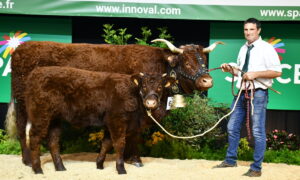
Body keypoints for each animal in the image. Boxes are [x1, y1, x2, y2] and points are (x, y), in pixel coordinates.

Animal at [25, 66, 176, 174]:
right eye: (143, 86)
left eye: (160, 87)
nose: (150, 102)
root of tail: (36, 72)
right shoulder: (117, 121)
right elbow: (119, 144)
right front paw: (121, 169)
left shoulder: (110, 123)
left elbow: (106, 144)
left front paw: (99, 165)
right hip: (41, 115)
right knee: (34, 137)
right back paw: (37, 169)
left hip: (55, 119)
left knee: (53, 141)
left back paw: (60, 167)